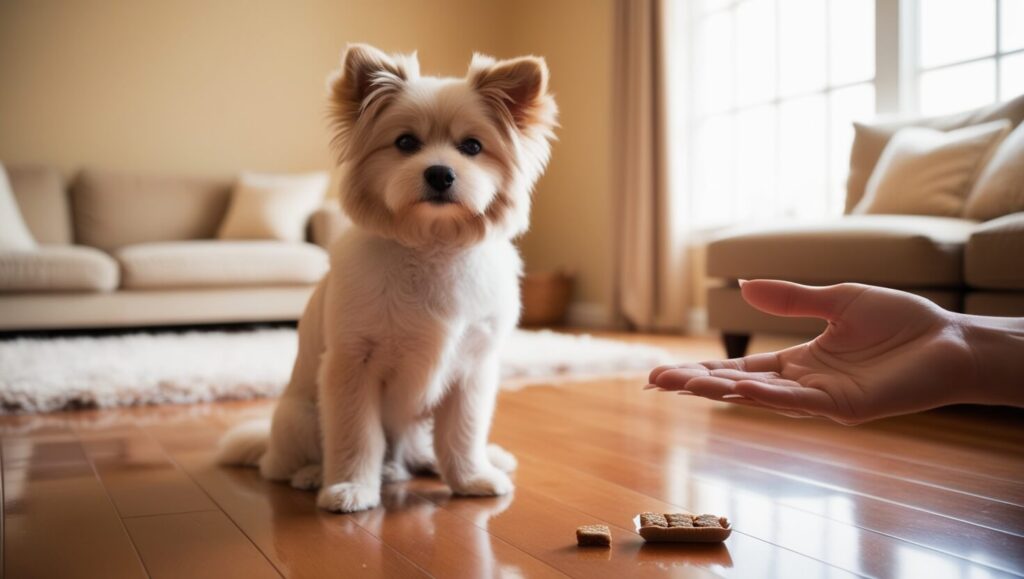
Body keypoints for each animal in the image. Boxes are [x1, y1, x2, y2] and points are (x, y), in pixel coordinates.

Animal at [211, 44, 557, 510]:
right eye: (405, 142)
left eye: (472, 146)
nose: (440, 173)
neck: (431, 247)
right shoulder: (353, 365)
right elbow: (356, 435)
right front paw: (351, 487)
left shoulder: (472, 371)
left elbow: (462, 434)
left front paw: (471, 478)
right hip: (298, 417)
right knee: (284, 465)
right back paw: (314, 474)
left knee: (423, 450)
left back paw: (466, 460)